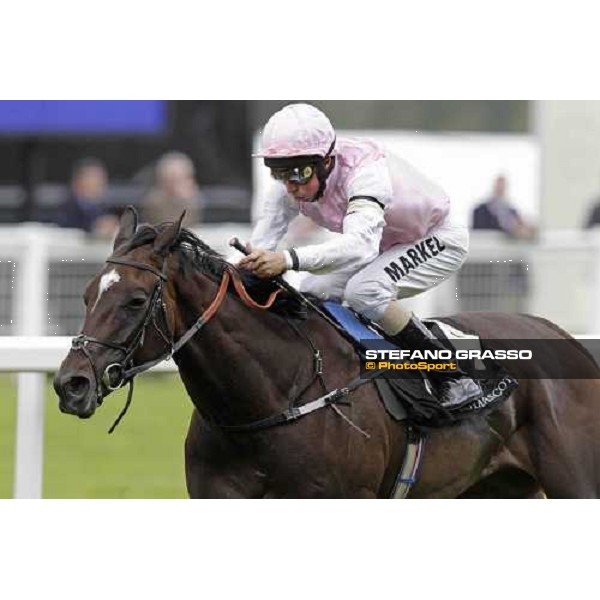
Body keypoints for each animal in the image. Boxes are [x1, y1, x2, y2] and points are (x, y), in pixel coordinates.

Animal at [54, 209, 600, 500]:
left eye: (135, 300)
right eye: (86, 295)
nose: (71, 384)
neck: (269, 401)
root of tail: (563, 336)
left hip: (575, 482)